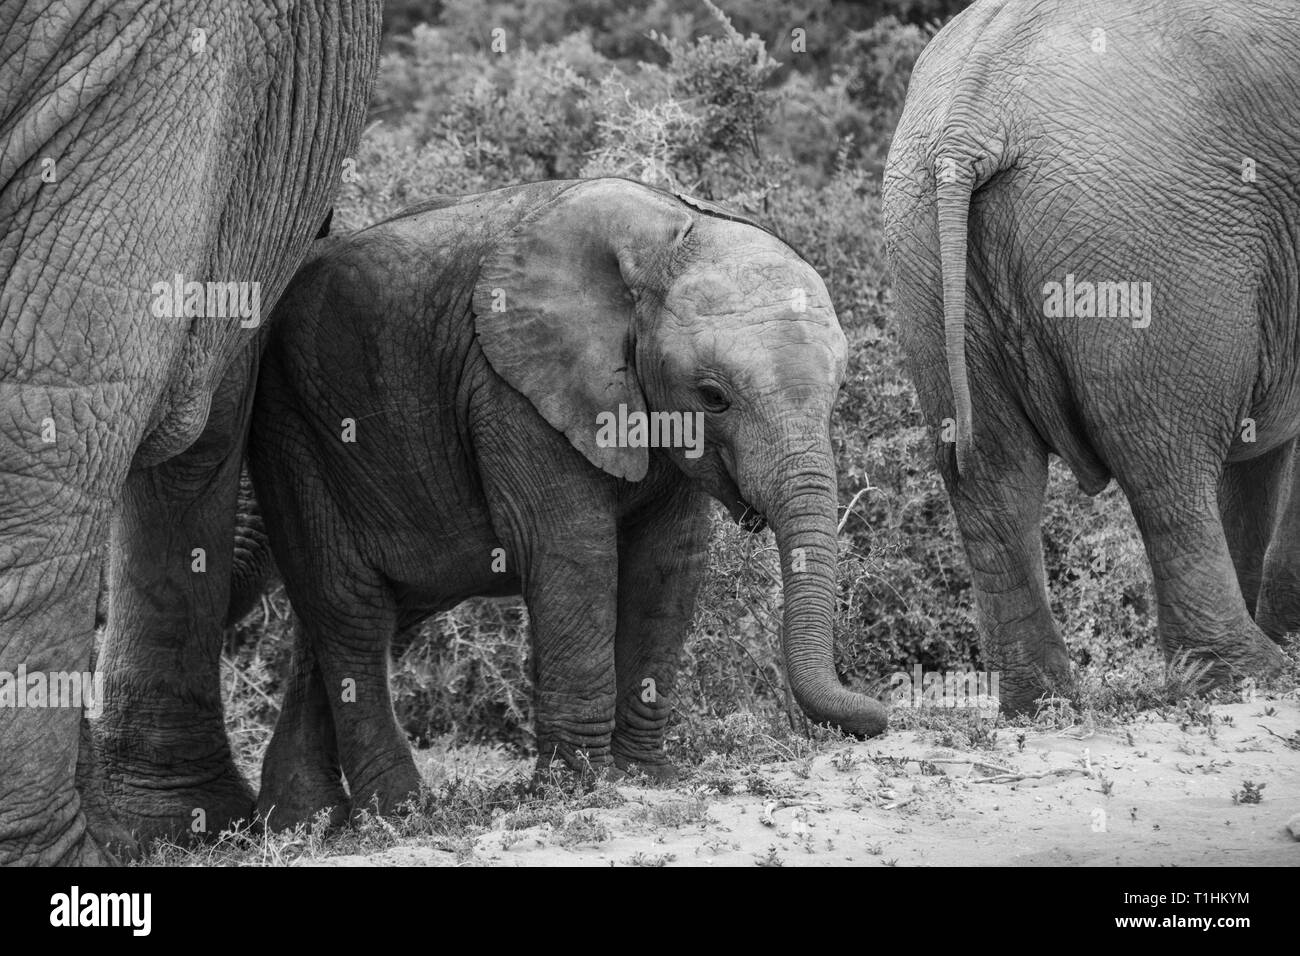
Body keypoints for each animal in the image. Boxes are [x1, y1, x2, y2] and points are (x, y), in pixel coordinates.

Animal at [249, 178, 883, 822]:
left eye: (838, 390)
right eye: (712, 396)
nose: (879, 716)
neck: (664, 239)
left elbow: (669, 562)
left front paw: (647, 775)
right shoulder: (509, 387)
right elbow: (574, 552)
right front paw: (579, 786)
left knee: (356, 614)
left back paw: (303, 820)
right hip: (292, 430)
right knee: (352, 610)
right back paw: (398, 812)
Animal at [883, 0, 1300, 712]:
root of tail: (973, 112)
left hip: (918, 239)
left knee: (991, 474)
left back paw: (1043, 701)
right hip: (1145, 241)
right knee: (1165, 460)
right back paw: (1254, 677)